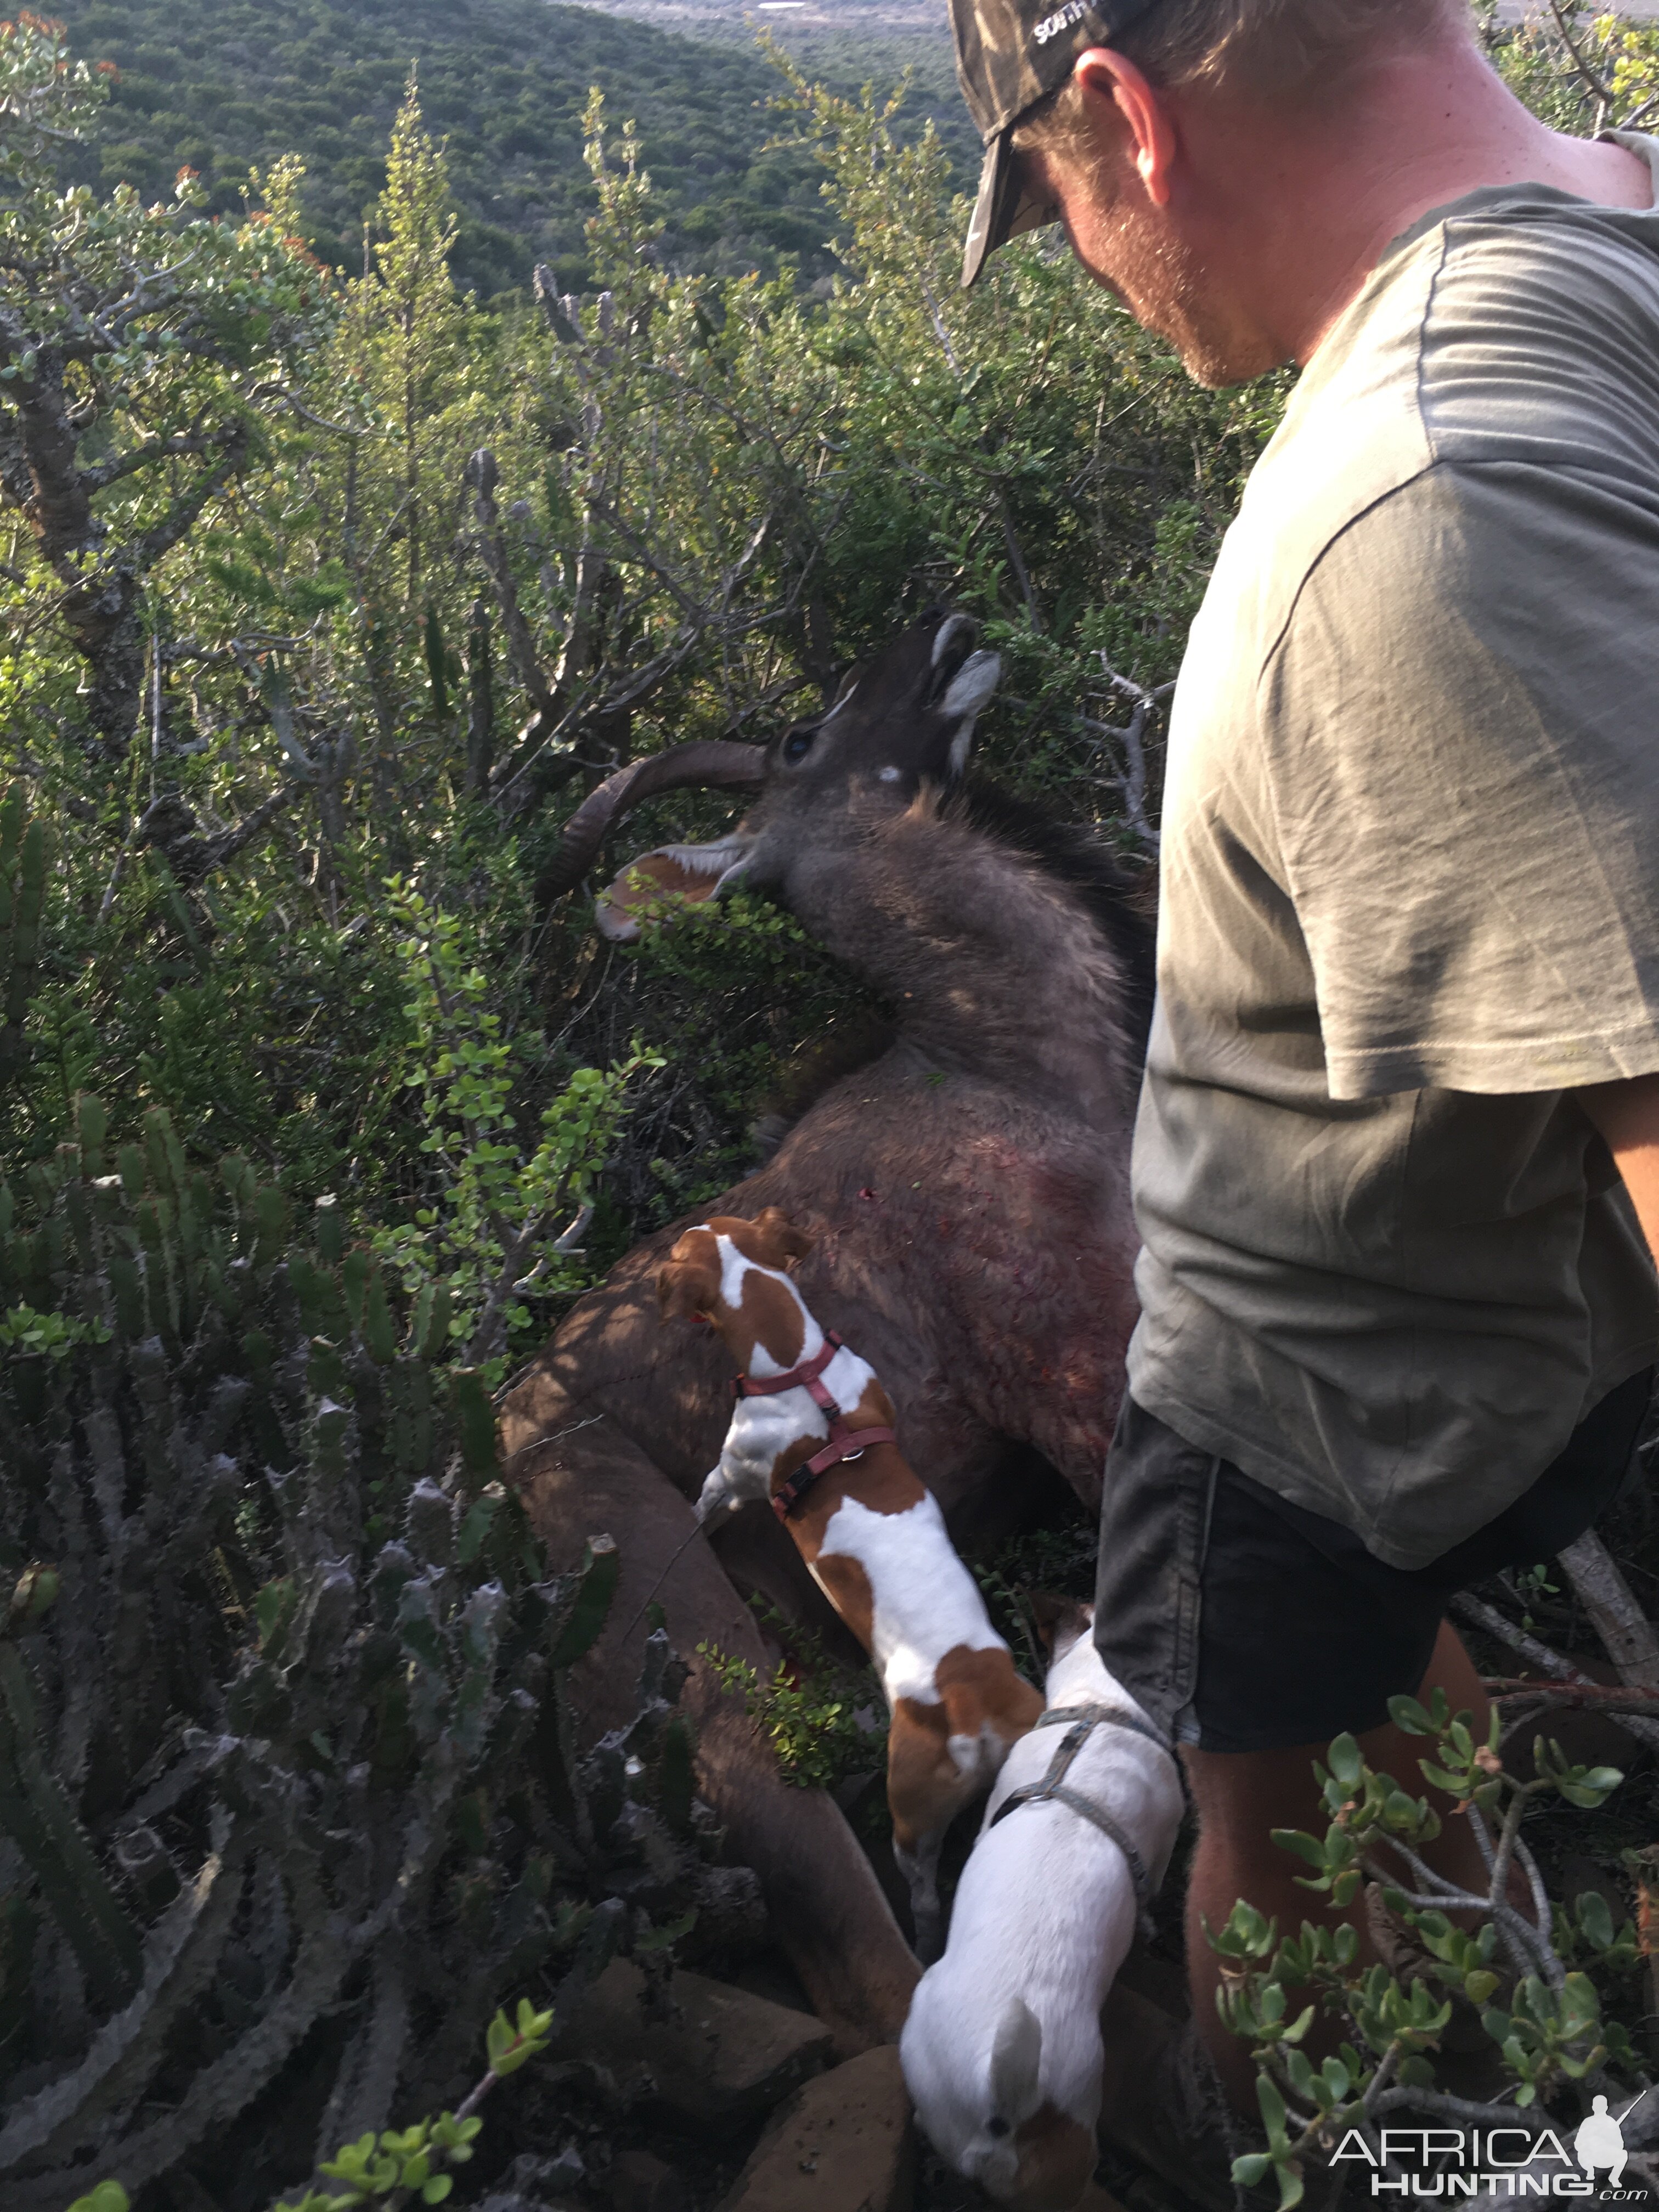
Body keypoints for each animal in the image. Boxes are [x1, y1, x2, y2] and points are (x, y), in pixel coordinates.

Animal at [659, 1212, 1040, 1955]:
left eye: (682, 1245)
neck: (801, 1371)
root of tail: (972, 1699)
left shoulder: (731, 1478)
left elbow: (701, 1509)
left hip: (910, 1819)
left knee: (924, 1894)